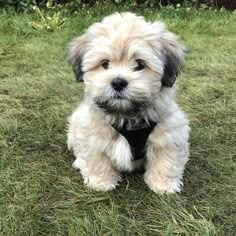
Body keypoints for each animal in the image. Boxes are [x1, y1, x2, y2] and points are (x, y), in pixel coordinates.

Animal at [67, 12, 190, 194]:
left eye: (139, 64)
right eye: (105, 63)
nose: (118, 82)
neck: (127, 116)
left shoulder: (170, 133)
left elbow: (167, 160)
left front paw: (163, 184)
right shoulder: (91, 132)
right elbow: (96, 157)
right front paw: (101, 181)